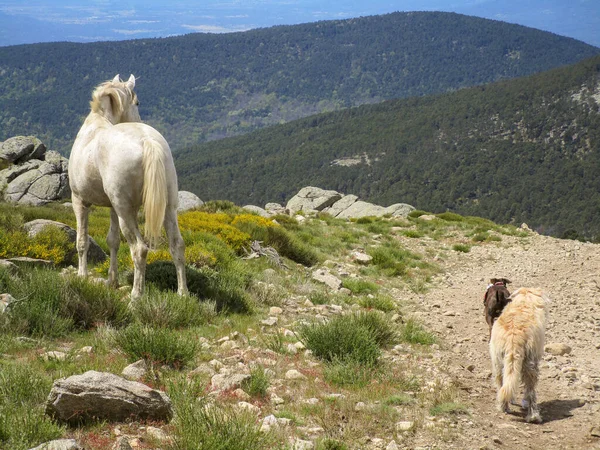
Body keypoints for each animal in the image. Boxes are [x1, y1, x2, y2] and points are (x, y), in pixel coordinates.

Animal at [69, 74, 189, 300]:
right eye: (138, 102)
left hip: (125, 210)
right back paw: (183, 293)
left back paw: (136, 295)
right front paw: (112, 281)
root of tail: (147, 141)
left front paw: (82, 276)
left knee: (140, 249)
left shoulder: (79, 200)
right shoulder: (112, 207)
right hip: (167, 207)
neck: (96, 123)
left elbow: (82, 241)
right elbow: (113, 241)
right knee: (177, 244)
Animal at [490, 288, 552, 422]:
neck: (525, 301)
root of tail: (514, 339)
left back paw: (503, 406)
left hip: (498, 361)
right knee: (530, 390)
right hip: (530, 362)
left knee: (502, 383)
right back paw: (533, 415)